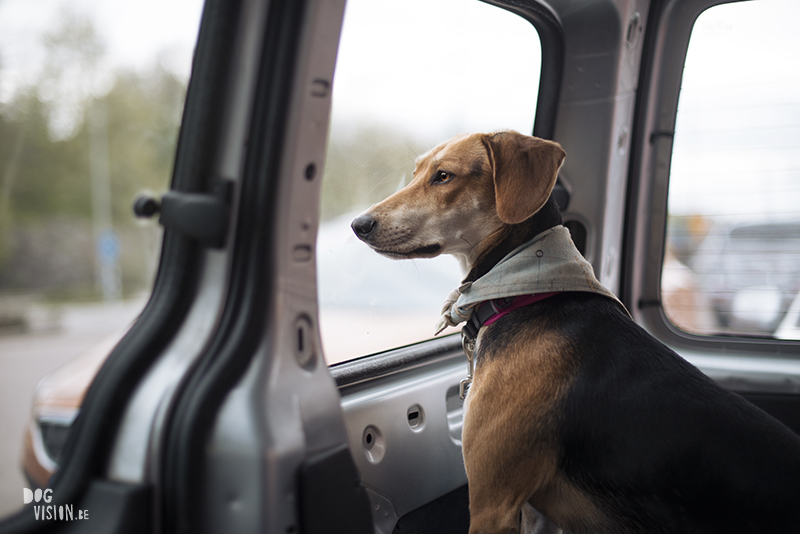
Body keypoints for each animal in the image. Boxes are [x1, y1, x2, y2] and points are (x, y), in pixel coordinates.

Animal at [352, 132, 800, 534]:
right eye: (415, 173)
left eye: (443, 176)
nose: (360, 224)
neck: (522, 289)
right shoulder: (534, 512)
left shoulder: (492, 505)